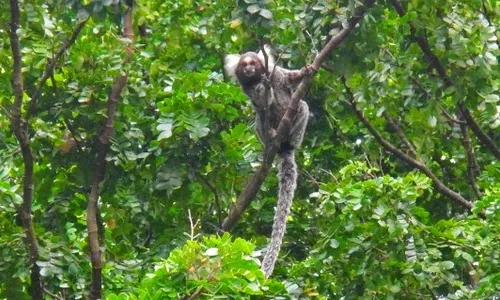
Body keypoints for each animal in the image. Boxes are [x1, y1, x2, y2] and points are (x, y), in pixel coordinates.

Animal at [226, 45, 314, 278]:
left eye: (253, 63)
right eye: (244, 65)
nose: (249, 69)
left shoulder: (277, 74)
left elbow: (290, 78)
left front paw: (306, 71)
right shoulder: (248, 90)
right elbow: (260, 101)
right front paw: (263, 89)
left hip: (295, 129)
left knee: (303, 106)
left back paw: (289, 140)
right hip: (263, 131)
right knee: (259, 118)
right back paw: (272, 134)